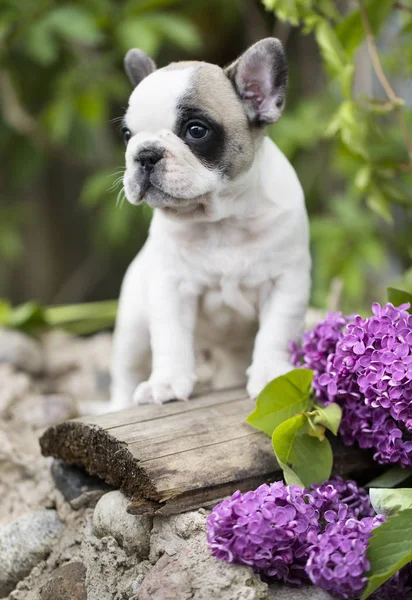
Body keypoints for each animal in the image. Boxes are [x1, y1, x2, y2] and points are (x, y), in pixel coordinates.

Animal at [109, 38, 308, 412]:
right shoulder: (171, 286)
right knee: (126, 371)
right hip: (132, 327)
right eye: (127, 135)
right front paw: (167, 382)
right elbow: (170, 338)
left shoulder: (285, 282)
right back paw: (120, 405)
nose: (145, 153)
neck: (220, 219)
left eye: (196, 130)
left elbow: (276, 332)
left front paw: (271, 375)